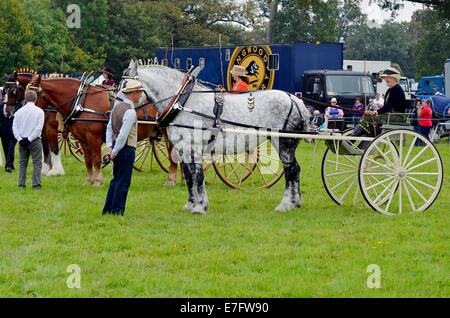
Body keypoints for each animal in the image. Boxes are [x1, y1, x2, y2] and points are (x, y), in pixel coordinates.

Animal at [28, 72, 181, 186]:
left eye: (32, 95)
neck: (81, 102)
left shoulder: (93, 138)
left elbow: (96, 159)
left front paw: (98, 181)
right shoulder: (82, 139)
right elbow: (88, 161)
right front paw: (88, 181)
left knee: (173, 154)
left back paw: (171, 180)